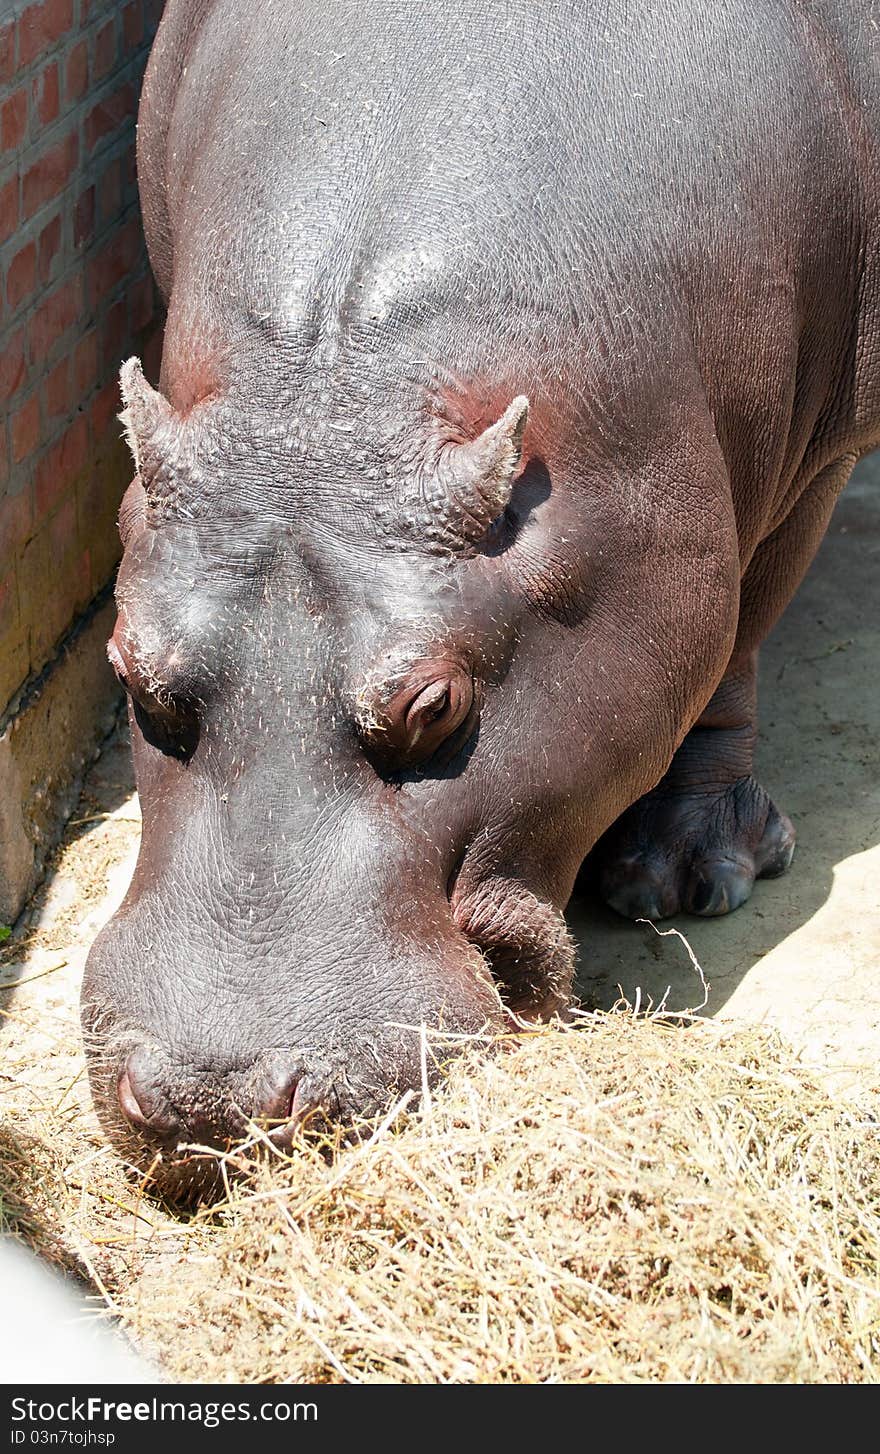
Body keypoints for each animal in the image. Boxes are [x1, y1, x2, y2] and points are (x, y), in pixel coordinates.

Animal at [78, 0, 872, 1192]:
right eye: (132, 671)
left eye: (435, 707)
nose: (211, 1098)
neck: (339, 395)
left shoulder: (811, 464)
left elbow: (734, 647)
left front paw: (689, 877)